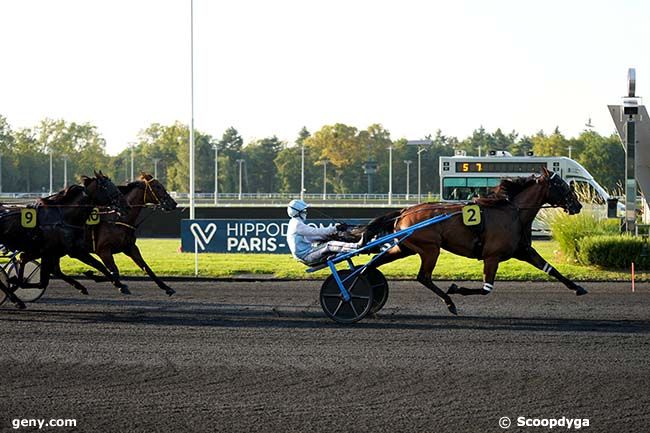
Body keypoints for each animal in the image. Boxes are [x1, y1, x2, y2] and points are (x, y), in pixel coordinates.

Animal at [0, 170, 128, 308]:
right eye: (107, 186)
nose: (126, 206)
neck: (63, 217)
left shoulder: (58, 251)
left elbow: (45, 277)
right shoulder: (67, 251)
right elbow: (99, 265)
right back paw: (16, 299)